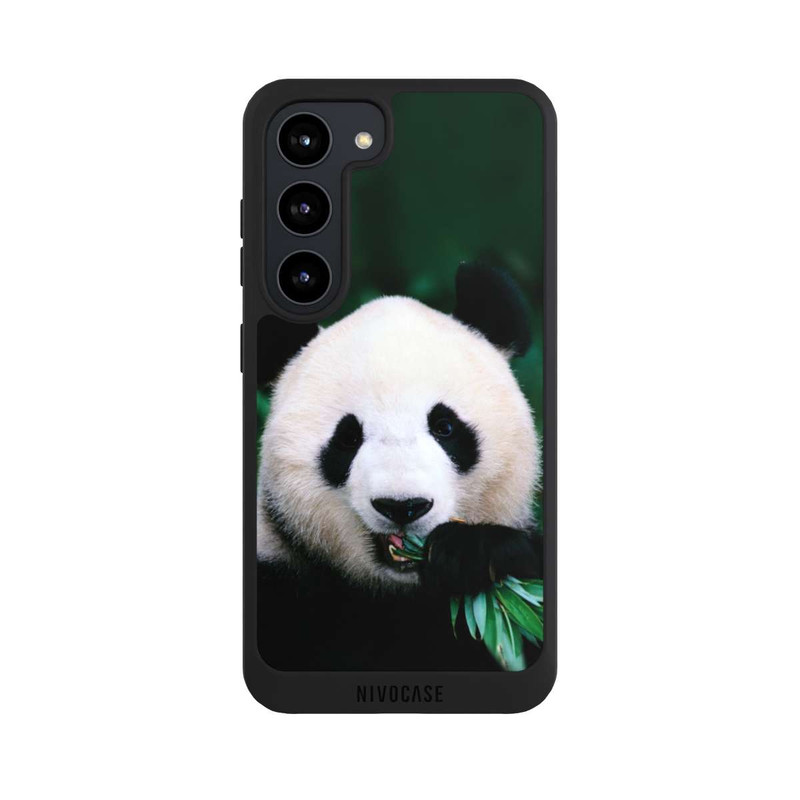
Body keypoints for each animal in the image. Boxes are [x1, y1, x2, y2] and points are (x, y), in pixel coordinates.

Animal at [256, 263, 543, 670]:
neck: (397, 594)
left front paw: (471, 553)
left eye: (445, 427)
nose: (402, 506)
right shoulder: (282, 582)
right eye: (348, 438)